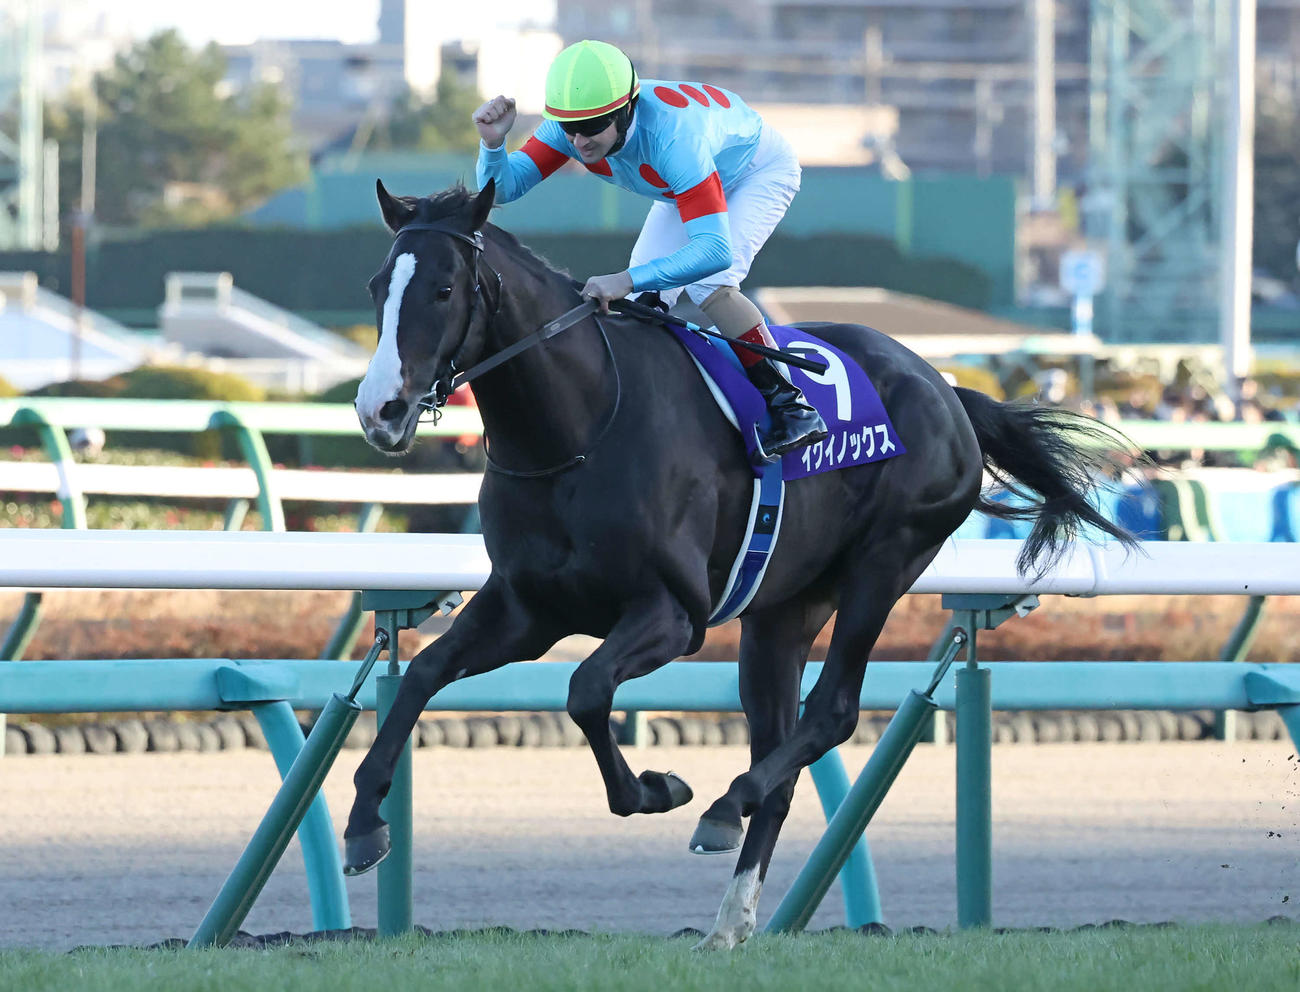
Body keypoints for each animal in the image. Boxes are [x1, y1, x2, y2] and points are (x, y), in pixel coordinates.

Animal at [346, 178, 1135, 949]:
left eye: (444, 289)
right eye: (378, 285)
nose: (379, 410)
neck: (579, 428)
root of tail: (947, 388)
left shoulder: (674, 614)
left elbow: (587, 689)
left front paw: (659, 789)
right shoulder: (526, 606)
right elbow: (422, 673)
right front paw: (363, 823)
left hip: (886, 563)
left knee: (832, 713)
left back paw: (725, 807)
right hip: (783, 613)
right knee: (780, 747)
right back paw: (729, 921)